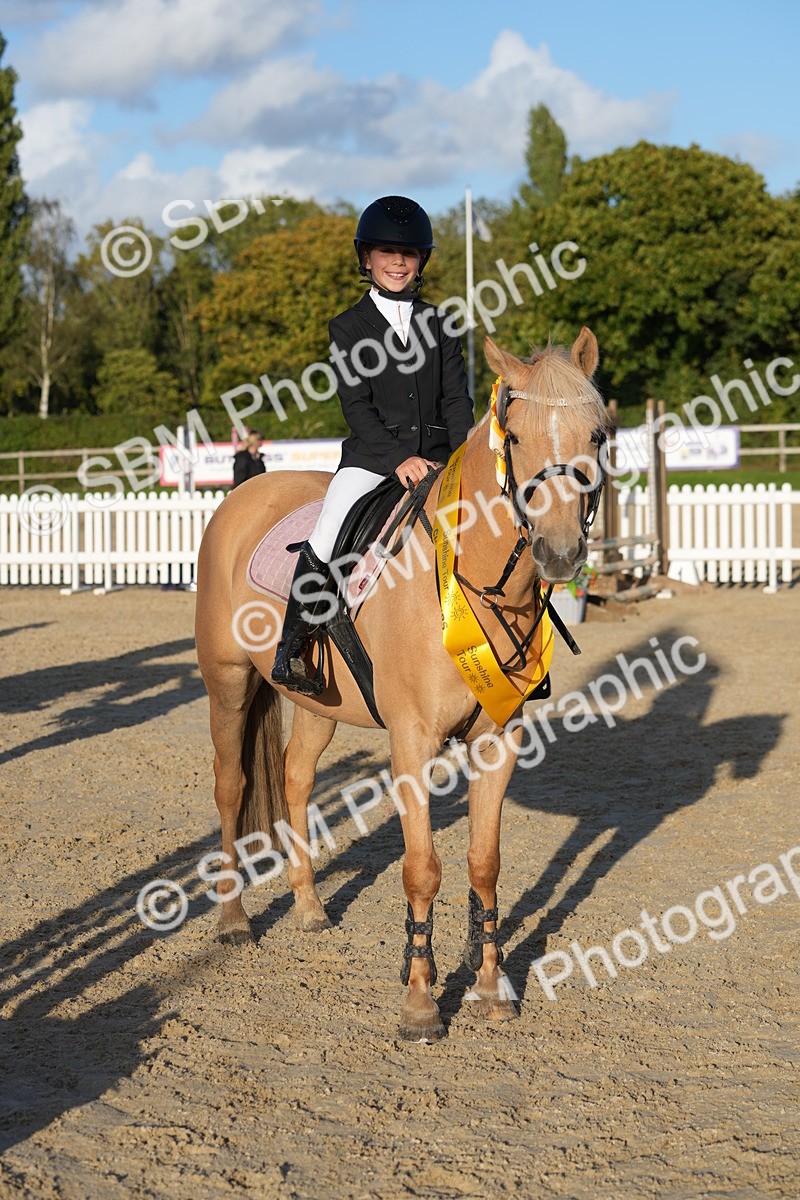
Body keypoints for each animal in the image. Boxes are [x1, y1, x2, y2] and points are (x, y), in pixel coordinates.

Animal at [194, 327, 611, 1040]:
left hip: (317, 704)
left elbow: (483, 863)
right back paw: (232, 919)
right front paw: (419, 1000)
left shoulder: (497, 740)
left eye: (597, 434)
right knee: (233, 786)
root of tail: (244, 495)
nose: (559, 553)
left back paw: (308, 906)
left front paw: (490, 987)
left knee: (296, 779)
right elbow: (423, 870)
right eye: (515, 436)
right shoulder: (412, 743)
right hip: (227, 683)